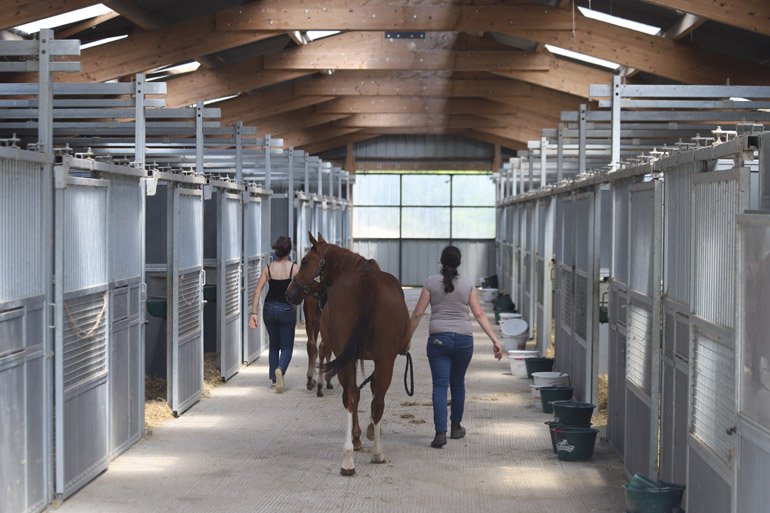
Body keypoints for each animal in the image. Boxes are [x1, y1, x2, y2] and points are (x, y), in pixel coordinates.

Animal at [286, 233, 411, 476]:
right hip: (382, 360)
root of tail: (366, 284)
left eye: (304, 261)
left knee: (354, 397)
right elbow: (365, 392)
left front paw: (360, 436)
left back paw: (352, 457)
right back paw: (369, 454)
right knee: (368, 400)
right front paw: (361, 436)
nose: (290, 292)